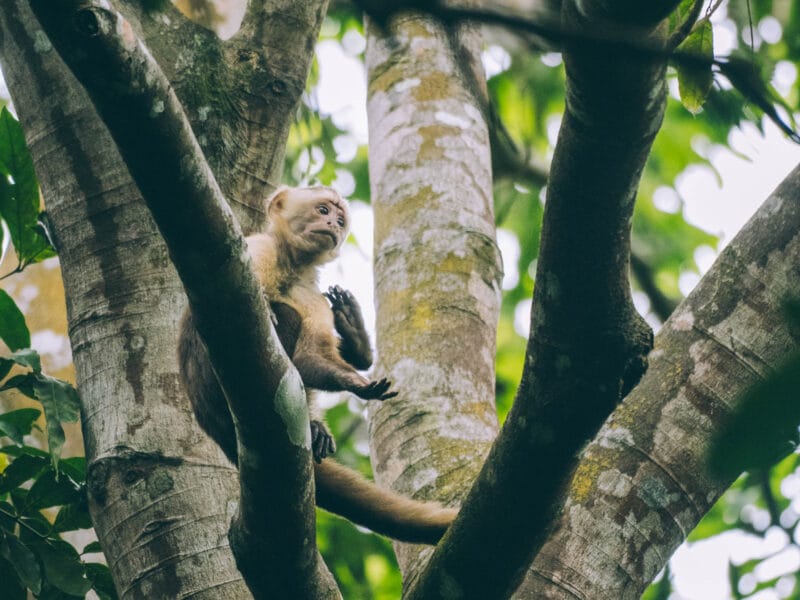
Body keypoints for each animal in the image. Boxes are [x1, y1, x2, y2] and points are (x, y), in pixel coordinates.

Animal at [178, 185, 457, 544]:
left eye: (340, 220)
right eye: (323, 210)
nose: (332, 225)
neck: (292, 264)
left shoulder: (311, 291)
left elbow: (309, 358)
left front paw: (355, 373)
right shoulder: (257, 248)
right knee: (281, 318)